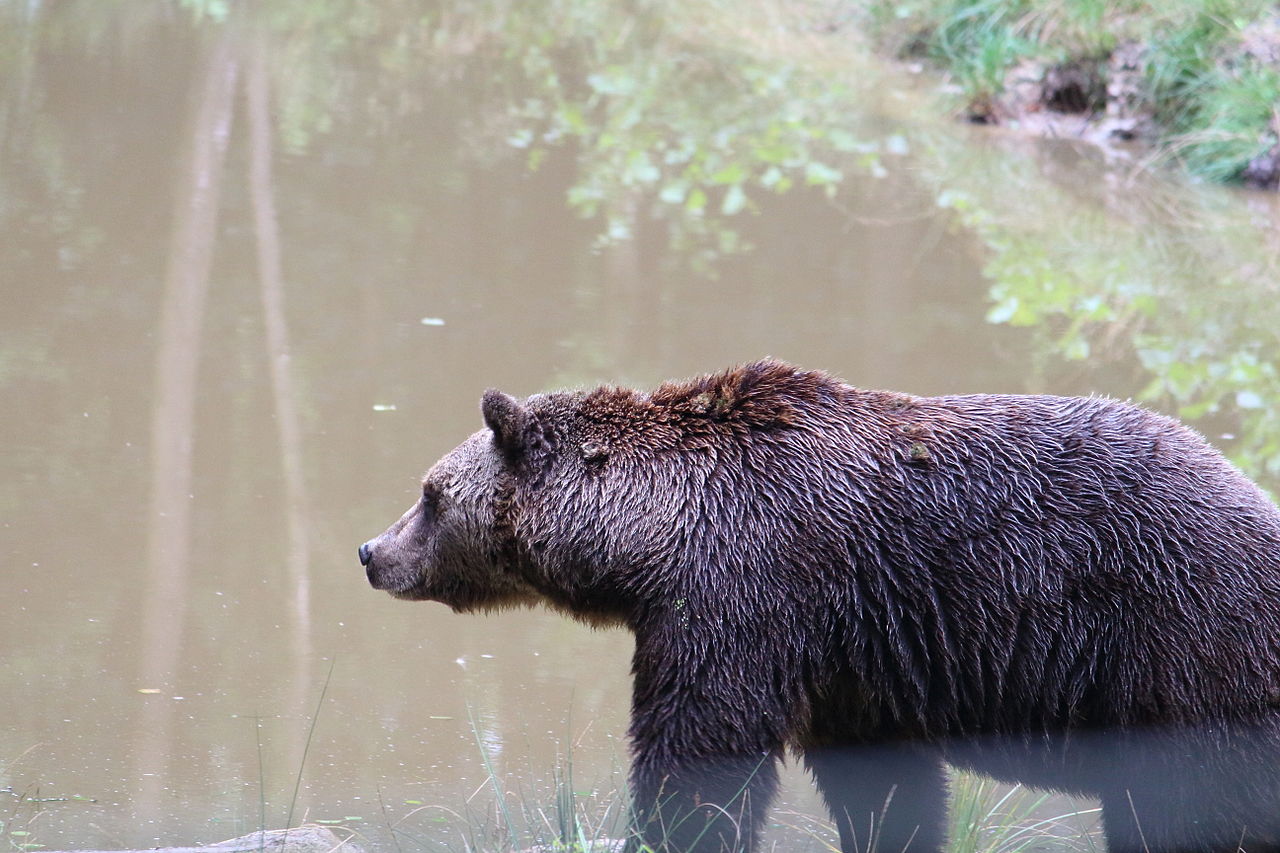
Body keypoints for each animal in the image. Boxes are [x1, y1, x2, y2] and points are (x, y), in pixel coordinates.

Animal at [358, 358, 1280, 850]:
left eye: (429, 493)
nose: (372, 552)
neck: (649, 536)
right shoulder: (858, 652)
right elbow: (884, 782)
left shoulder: (745, 597)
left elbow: (701, 750)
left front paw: (663, 827)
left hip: (1184, 650)